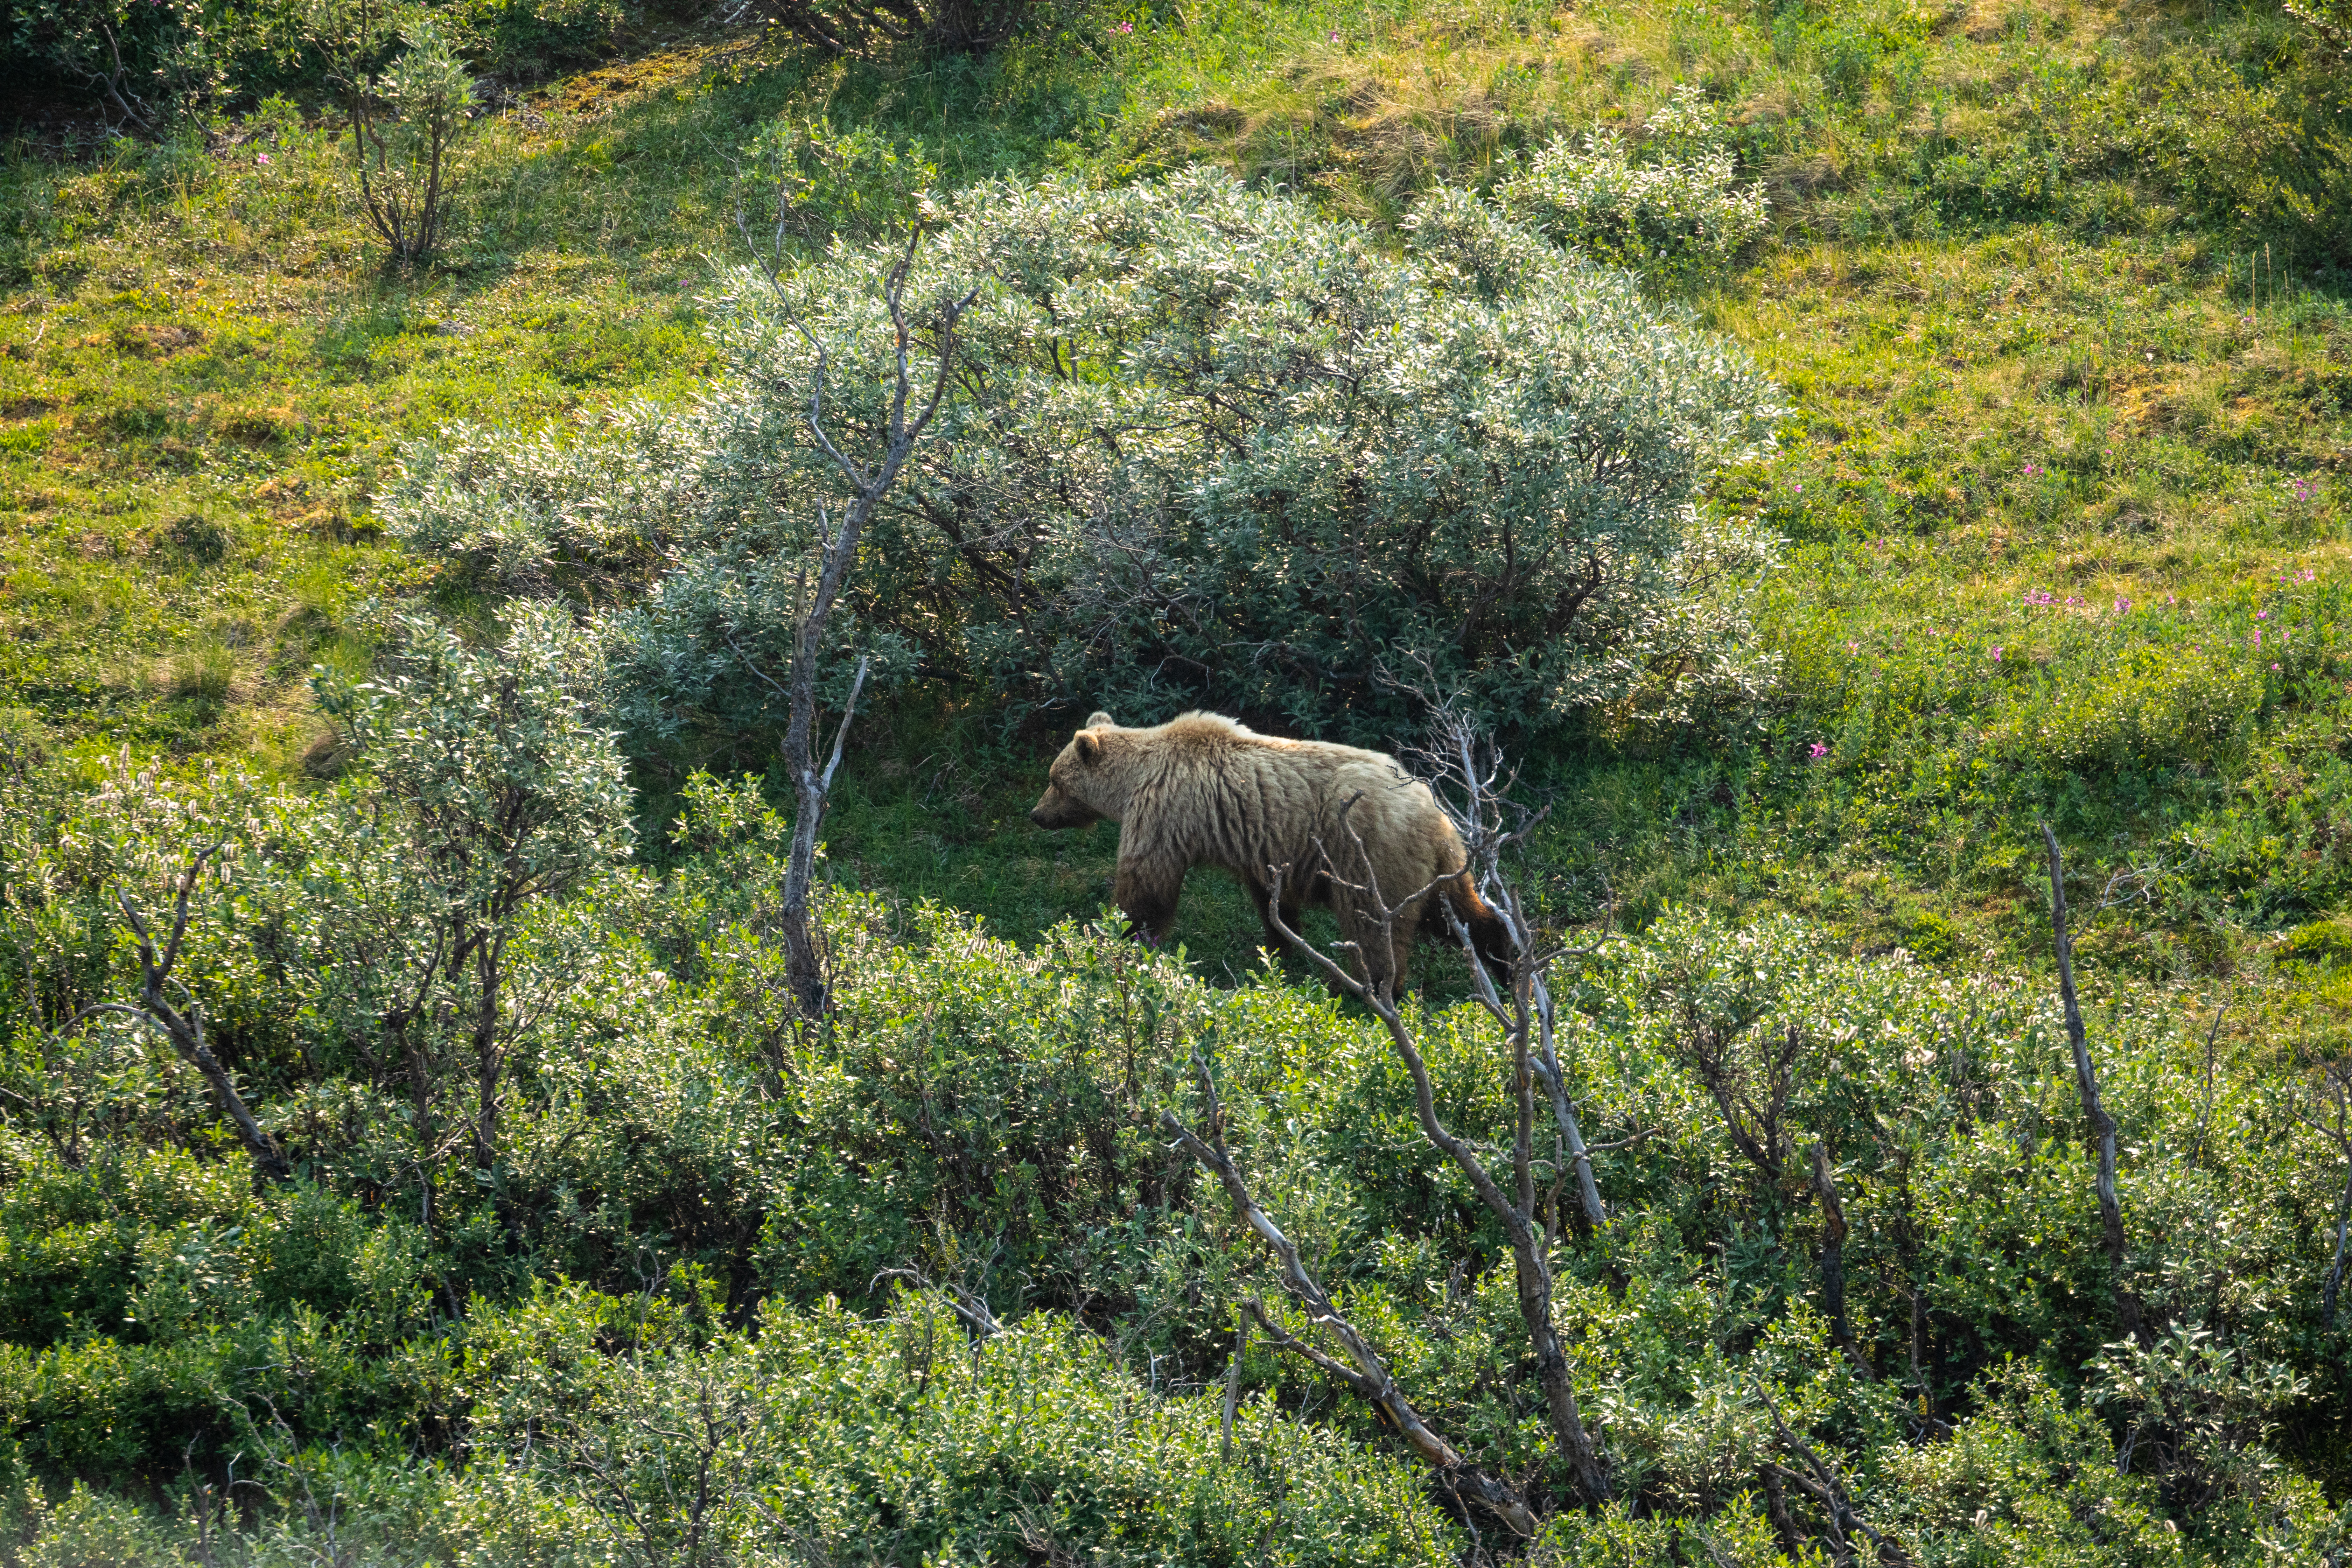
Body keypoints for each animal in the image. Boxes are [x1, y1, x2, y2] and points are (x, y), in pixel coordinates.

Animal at [1028, 709, 1512, 993]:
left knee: (1375, 928)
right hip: (1437, 867)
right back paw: (1506, 959)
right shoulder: (1261, 849)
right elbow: (1270, 903)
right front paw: (1276, 949)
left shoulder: (1163, 818)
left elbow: (1145, 889)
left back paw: (1369, 990)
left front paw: (1117, 937)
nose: (1036, 815)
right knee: (1458, 912)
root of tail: (1431, 808)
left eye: (1055, 780)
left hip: (1370, 856)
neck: (1134, 782)